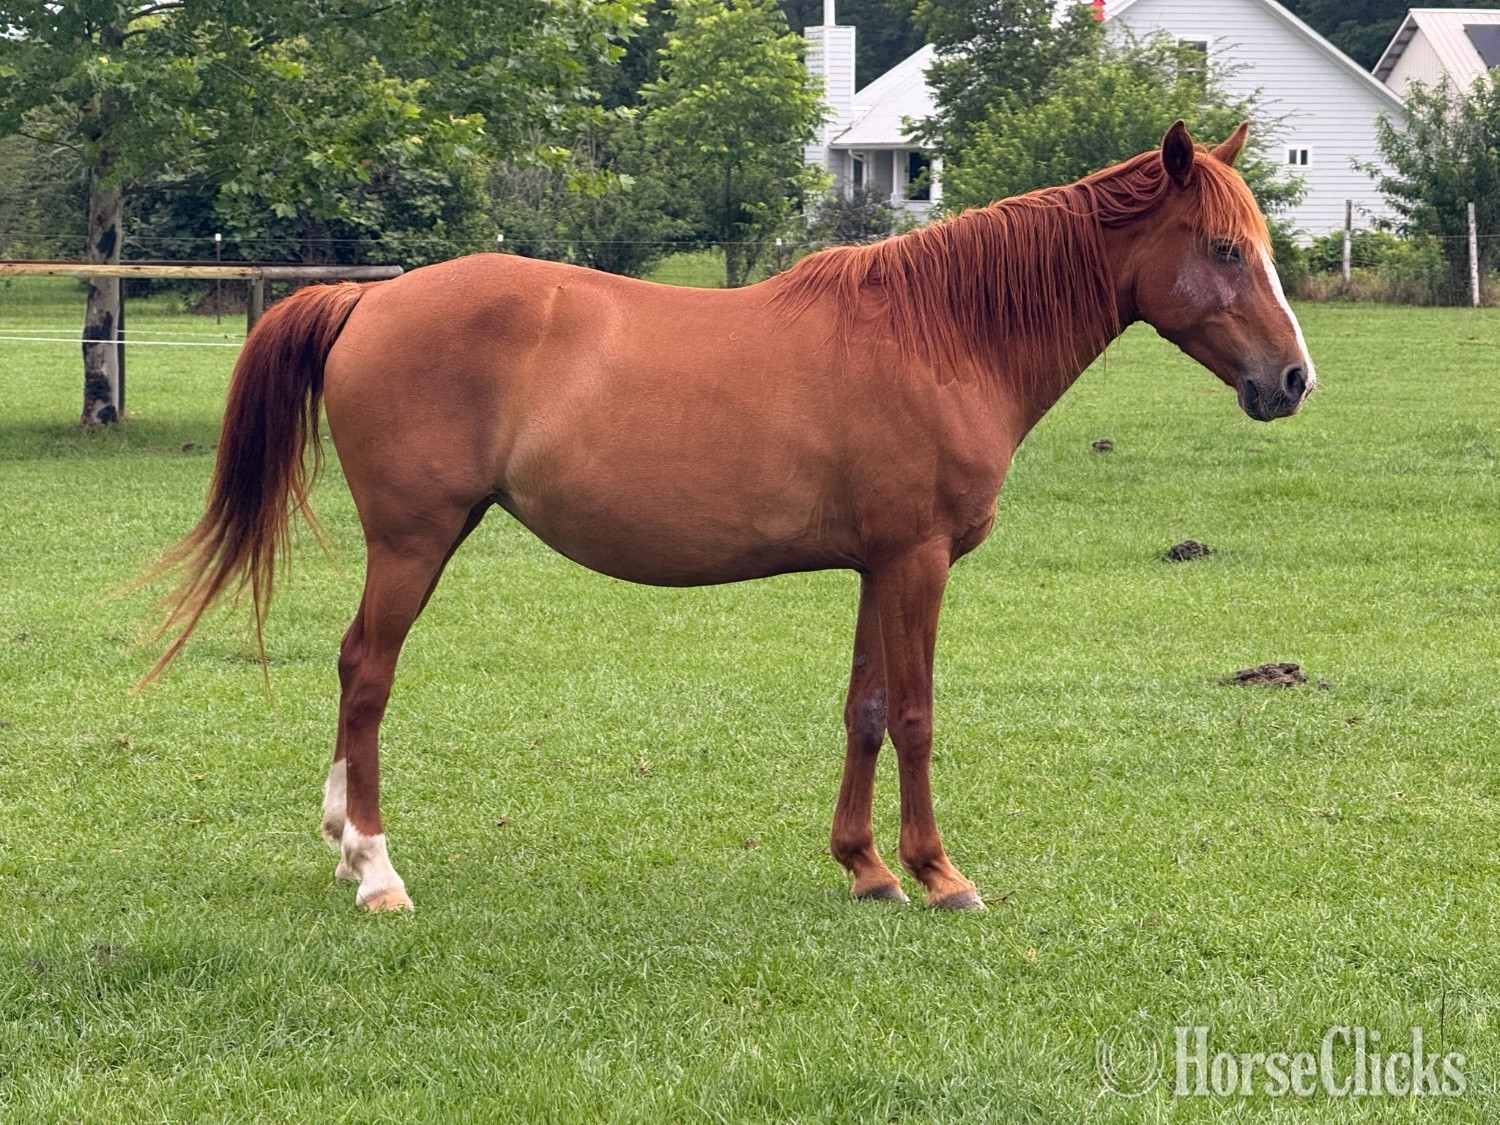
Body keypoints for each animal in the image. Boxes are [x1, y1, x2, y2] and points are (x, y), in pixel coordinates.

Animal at [145, 121, 1314, 912]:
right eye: (1222, 248)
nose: (1294, 380)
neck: (942, 333)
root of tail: (371, 297)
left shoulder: (876, 565)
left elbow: (867, 710)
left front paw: (866, 867)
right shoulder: (920, 560)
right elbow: (919, 712)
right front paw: (939, 873)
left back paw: (344, 838)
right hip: (412, 541)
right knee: (365, 673)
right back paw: (375, 867)